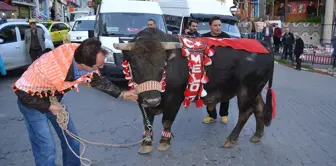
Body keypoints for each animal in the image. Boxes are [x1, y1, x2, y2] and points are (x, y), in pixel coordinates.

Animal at [113, 27, 276, 154]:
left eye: (162, 66)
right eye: (134, 67)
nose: (153, 100)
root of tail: (263, 44)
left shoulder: (174, 98)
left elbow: (167, 121)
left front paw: (164, 141)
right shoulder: (141, 99)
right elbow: (147, 122)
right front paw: (146, 143)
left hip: (246, 90)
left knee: (245, 113)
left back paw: (231, 139)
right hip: (256, 90)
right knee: (259, 108)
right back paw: (257, 135)